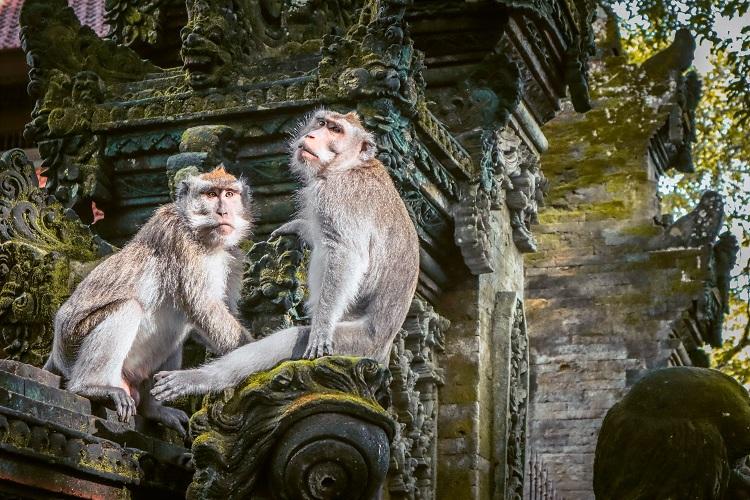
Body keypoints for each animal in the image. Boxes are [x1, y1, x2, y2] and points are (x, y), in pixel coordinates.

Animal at [45, 166, 254, 432]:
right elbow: (202, 306)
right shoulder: (180, 239)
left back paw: (152, 409)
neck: (204, 237)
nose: (223, 211)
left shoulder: (234, 256)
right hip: (72, 345)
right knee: (129, 307)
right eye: (210, 194)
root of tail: (54, 354)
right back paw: (91, 387)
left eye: (229, 194)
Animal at [151, 109, 424, 402]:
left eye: (336, 130)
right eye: (321, 123)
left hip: (359, 343)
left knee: (292, 338)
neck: (348, 166)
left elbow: (345, 254)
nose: (312, 135)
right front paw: (298, 227)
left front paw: (321, 327)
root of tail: (382, 354)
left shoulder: (338, 195)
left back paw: (201, 379)